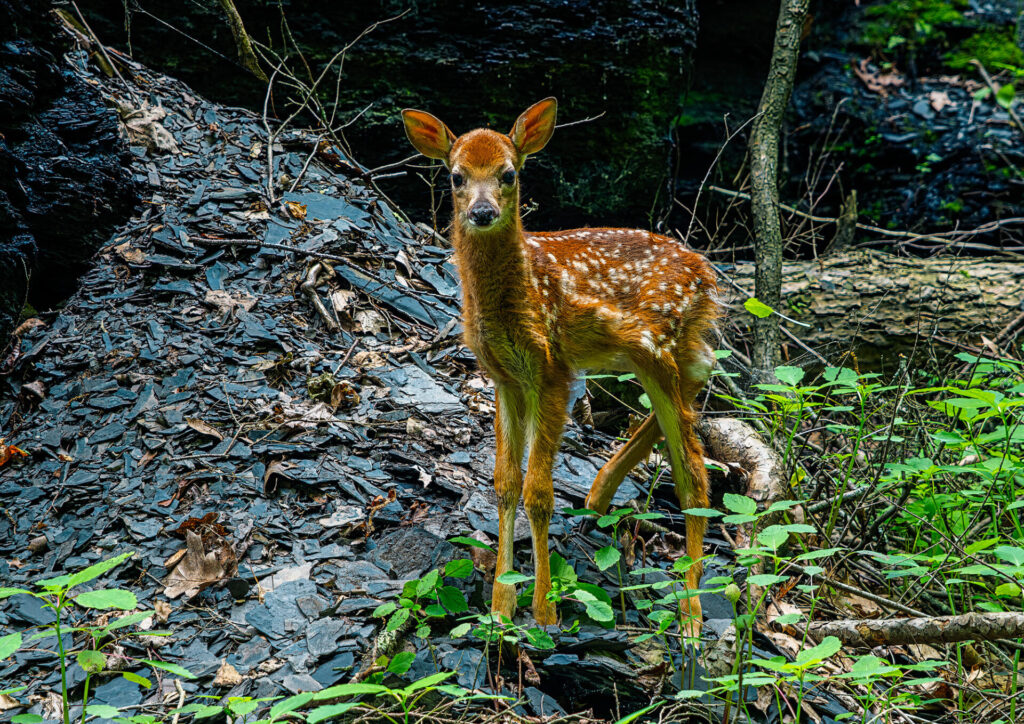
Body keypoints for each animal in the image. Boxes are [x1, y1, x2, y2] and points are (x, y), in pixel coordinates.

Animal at [401, 98, 720, 638]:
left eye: (509, 173)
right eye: (456, 176)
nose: (482, 212)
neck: (520, 295)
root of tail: (707, 272)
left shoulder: (553, 371)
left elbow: (538, 493)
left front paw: (544, 609)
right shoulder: (505, 378)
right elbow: (505, 485)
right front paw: (500, 603)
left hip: (658, 342)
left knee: (693, 472)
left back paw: (692, 616)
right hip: (654, 349)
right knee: (697, 382)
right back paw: (598, 495)